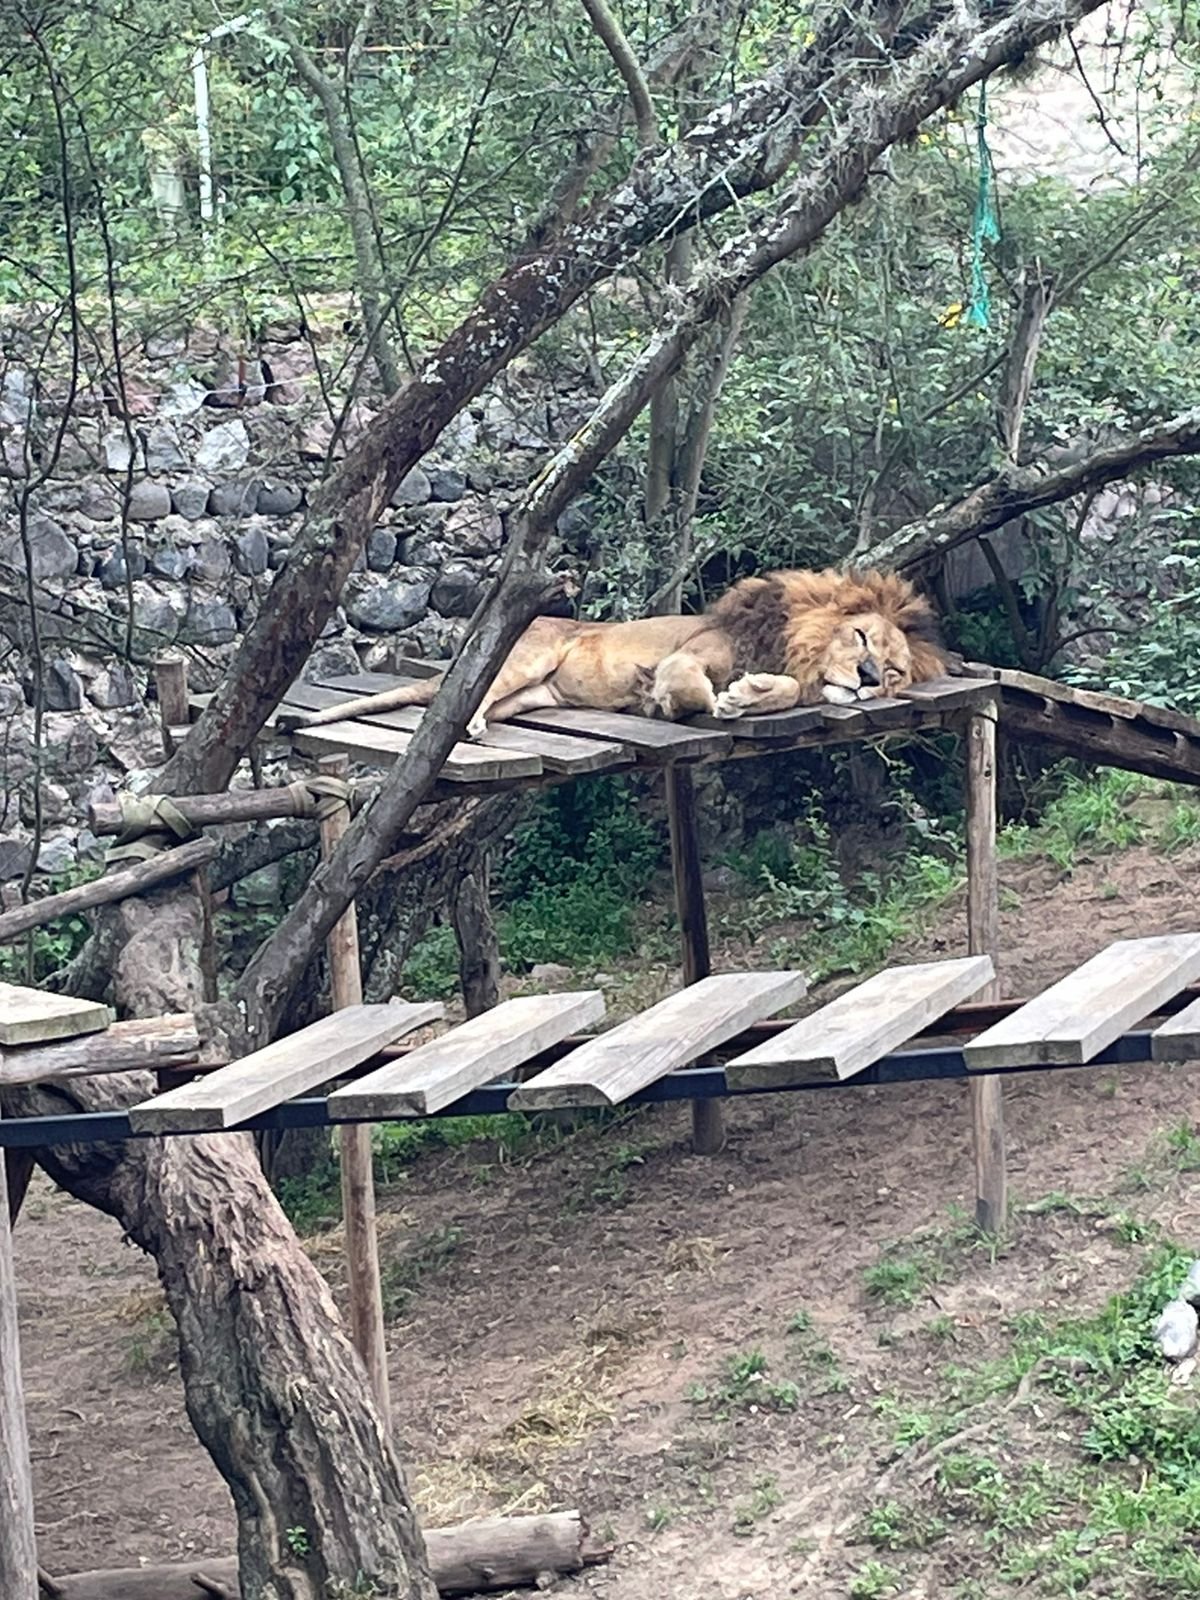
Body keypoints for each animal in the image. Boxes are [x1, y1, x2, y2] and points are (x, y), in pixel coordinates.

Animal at [278, 567, 946, 741]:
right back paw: (467, 723)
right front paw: (694, 701)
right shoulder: (691, 653)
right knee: (470, 692)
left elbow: (781, 691)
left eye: (892, 671)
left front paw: (747, 696)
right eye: (860, 638)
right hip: (524, 659)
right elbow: (688, 683)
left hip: (532, 695)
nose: (866, 677)